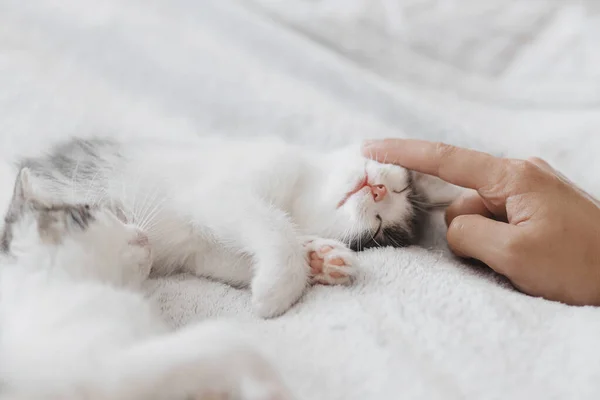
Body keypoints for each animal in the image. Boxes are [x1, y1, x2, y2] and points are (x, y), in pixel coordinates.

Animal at [10, 136, 450, 318]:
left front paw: (320, 259)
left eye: (377, 229)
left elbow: (232, 259)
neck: (300, 194)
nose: (377, 189)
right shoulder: (223, 193)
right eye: (399, 181)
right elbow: (274, 227)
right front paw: (281, 286)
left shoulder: (201, 250)